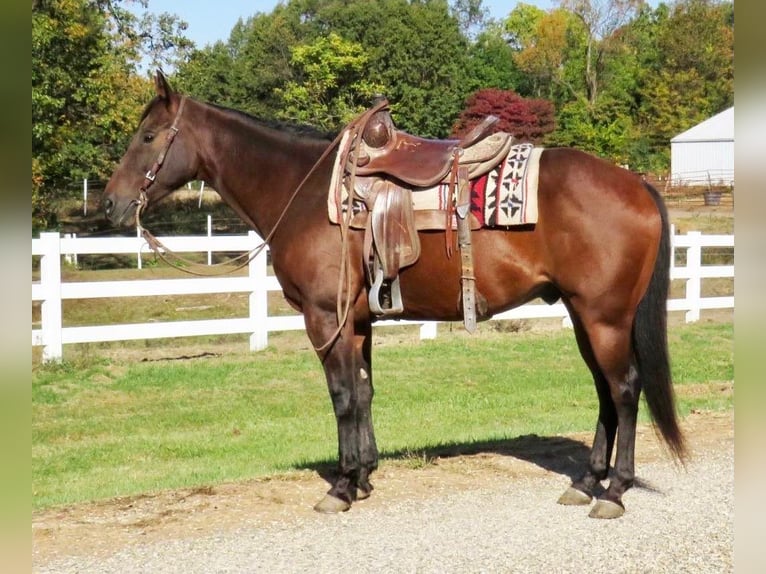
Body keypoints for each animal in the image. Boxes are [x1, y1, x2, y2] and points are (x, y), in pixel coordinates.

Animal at [103, 73, 688, 520]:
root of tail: (638, 184)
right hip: (583, 315)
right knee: (605, 392)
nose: (110, 204)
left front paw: (341, 487)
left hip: (605, 317)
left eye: (149, 135)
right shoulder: (358, 322)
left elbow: (341, 395)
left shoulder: (326, 319)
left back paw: (614, 491)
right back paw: (586, 483)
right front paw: (363, 476)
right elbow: (363, 392)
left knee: (624, 389)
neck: (304, 191)